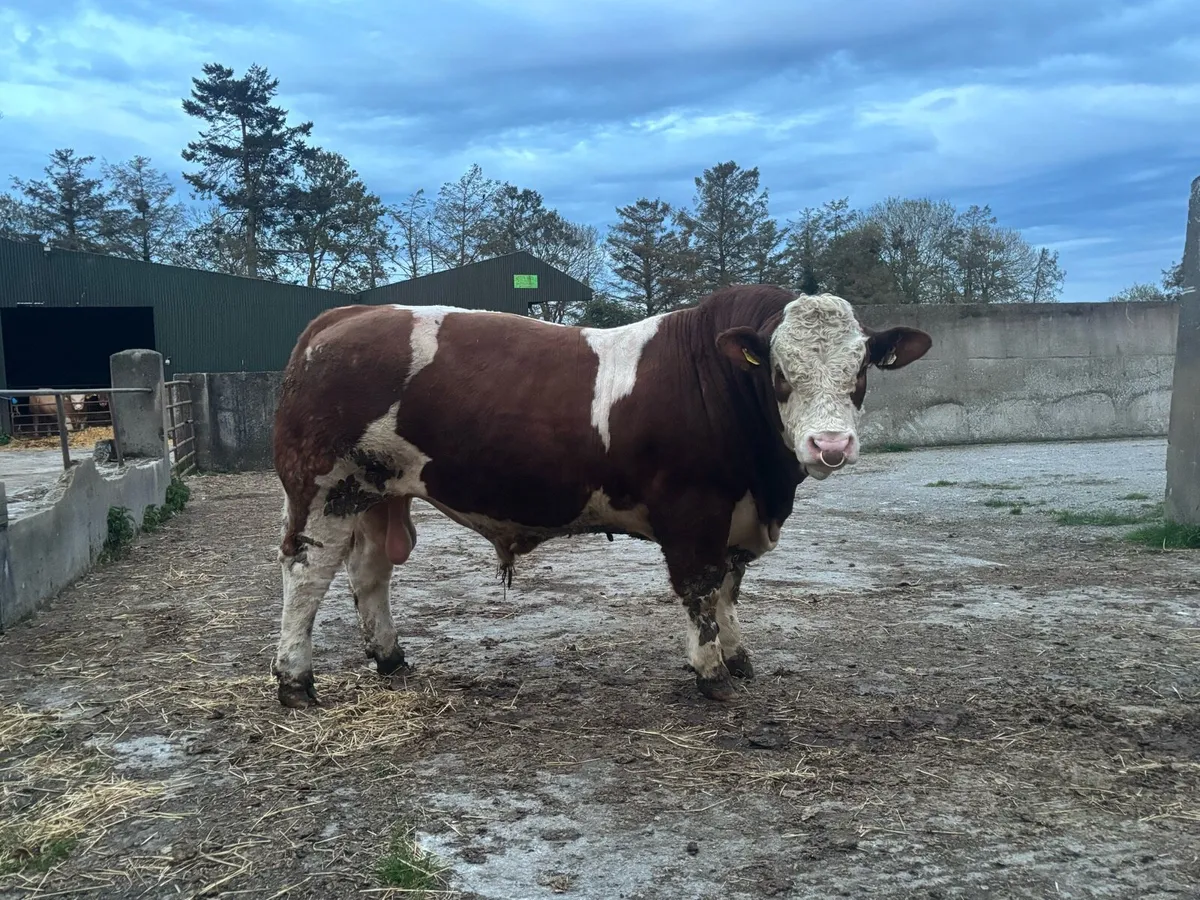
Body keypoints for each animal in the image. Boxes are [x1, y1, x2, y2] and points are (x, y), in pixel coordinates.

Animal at [270, 284, 933, 709]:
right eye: (780, 372)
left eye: (861, 370)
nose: (830, 445)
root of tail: (343, 316)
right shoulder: (695, 511)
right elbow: (700, 589)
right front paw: (711, 672)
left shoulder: (737, 516)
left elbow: (728, 587)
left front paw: (739, 657)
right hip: (325, 487)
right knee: (306, 572)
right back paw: (295, 681)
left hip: (377, 492)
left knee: (369, 573)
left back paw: (390, 659)